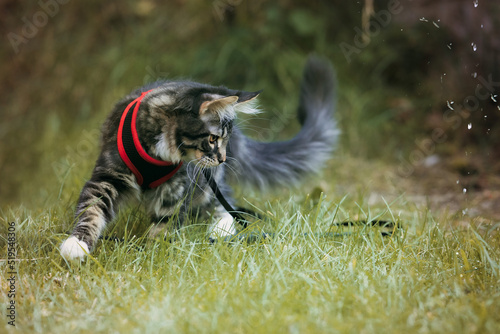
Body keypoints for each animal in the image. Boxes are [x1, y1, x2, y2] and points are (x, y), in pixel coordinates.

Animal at [59, 56, 340, 260]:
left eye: (225, 139)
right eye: (213, 139)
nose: (223, 158)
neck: (158, 152)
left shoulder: (177, 189)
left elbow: (165, 224)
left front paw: (156, 250)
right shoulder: (109, 175)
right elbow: (91, 210)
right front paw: (76, 244)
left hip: (204, 184)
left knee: (225, 204)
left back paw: (220, 230)